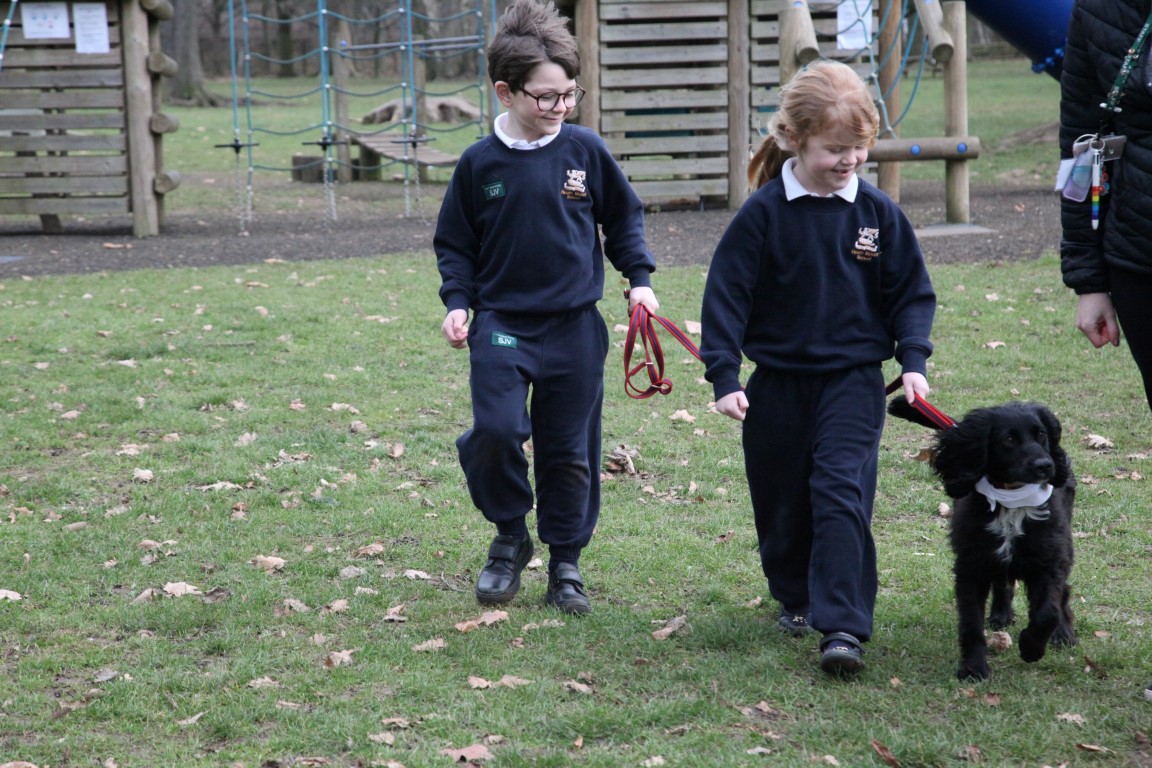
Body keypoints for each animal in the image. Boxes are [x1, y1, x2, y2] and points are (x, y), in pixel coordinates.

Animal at [889, 400, 1078, 681]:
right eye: (1008, 439)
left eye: (1042, 434)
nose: (1045, 465)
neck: (1011, 502)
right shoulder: (971, 565)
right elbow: (971, 623)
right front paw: (974, 667)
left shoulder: (1048, 559)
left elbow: (1048, 612)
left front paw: (1031, 647)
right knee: (1003, 581)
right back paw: (1001, 614)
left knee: (1062, 592)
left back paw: (1063, 634)